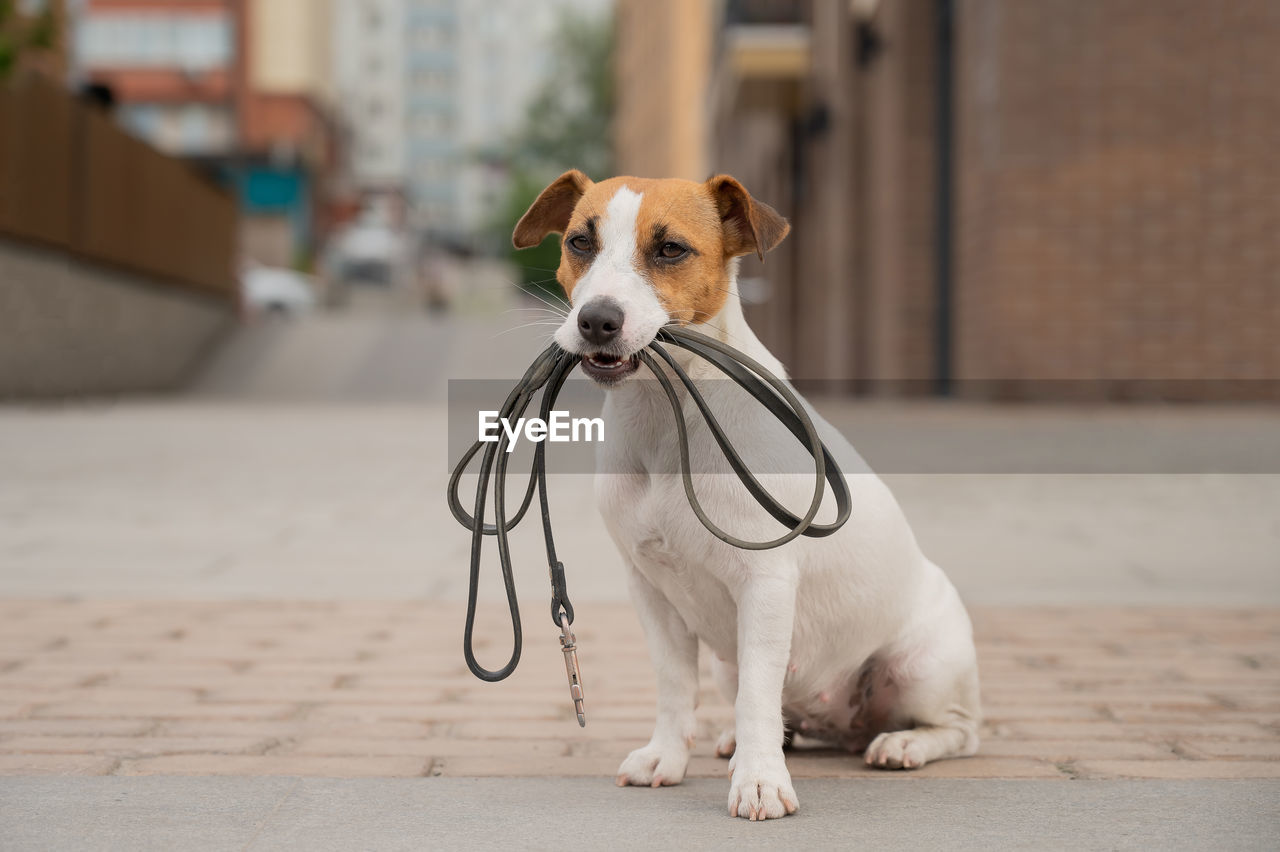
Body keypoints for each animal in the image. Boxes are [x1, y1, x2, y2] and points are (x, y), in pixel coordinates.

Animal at [509, 171, 977, 818]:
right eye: (580, 241)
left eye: (670, 249)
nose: (596, 320)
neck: (668, 419)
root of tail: (841, 725)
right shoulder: (649, 588)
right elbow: (675, 684)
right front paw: (667, 757)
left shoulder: (766, 584)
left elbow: (759, 691)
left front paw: (760, 781)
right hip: (729, 663)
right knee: (769, 712)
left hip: (921, 666)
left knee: (957, 729)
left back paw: (901, 743)